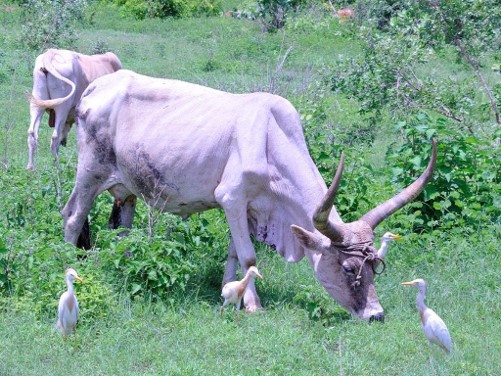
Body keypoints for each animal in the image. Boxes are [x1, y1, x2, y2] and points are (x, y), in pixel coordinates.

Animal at [62, 70, 436, 320]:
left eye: (375, 266)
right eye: (347, 267)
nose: (376, 315)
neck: (271, 139)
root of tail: (97, 85)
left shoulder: (247, 209)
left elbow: (233, 254)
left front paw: (230, 292)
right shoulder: (232, 198)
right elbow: (249, 257)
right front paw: (253, 304)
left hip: (126, 189)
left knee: (122, 229)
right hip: (89, 173)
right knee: (72, 217)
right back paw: (65, 264)